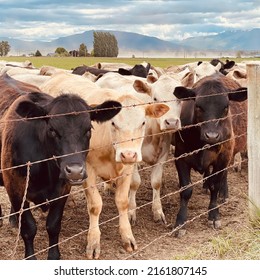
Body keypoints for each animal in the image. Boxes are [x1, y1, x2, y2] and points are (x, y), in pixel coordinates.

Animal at [172, 73, 247, 237]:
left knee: (223, 176)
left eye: (226, 107)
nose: (212, 136)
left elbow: (215, 185)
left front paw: (214, 215)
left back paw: (224, 195)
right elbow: (186, 190)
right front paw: (180, 222)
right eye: (198, 106)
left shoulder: (223, 158)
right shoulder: (180, 157)